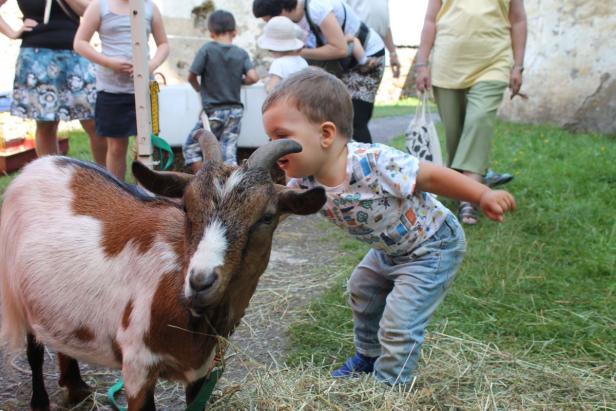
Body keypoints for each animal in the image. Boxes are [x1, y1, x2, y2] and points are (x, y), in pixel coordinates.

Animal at [0, 130, 328, 410]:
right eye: (185, 207)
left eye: (267, 217)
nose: (200, 282)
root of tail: (39, 163)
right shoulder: (137, 368)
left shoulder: (201, 372)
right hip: (18, 291)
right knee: (34, 350)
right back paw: (41, 401)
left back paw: (76, 386)